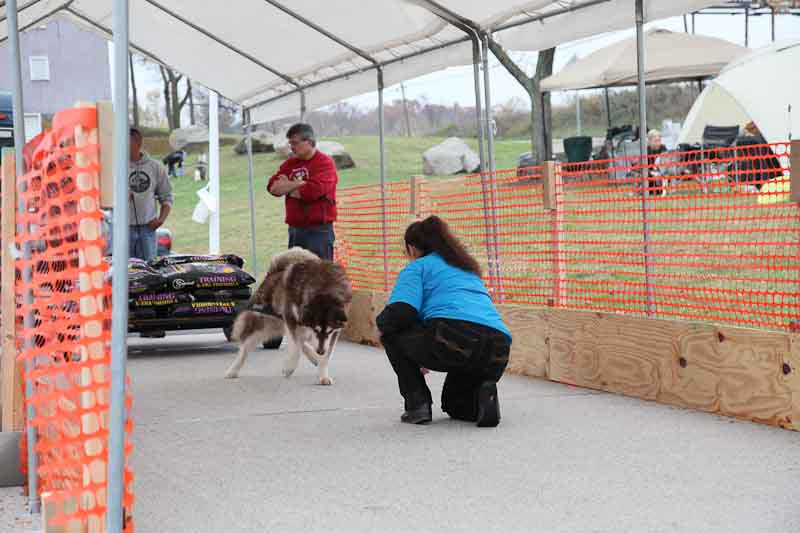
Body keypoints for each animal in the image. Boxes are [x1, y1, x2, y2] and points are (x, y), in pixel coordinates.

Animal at [223, 247, 352, 384]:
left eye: (329, 331)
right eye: (316, 329)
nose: (320, 351)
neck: (325, 288)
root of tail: (274, 272)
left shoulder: (334, 331)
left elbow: (326, 355)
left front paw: (323, 375)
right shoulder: (291, 319)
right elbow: (296, 348)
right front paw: (289, 368)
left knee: (302, 341)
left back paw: (314, 357)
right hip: (262, 325)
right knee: (244, 349)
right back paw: (233, 370)